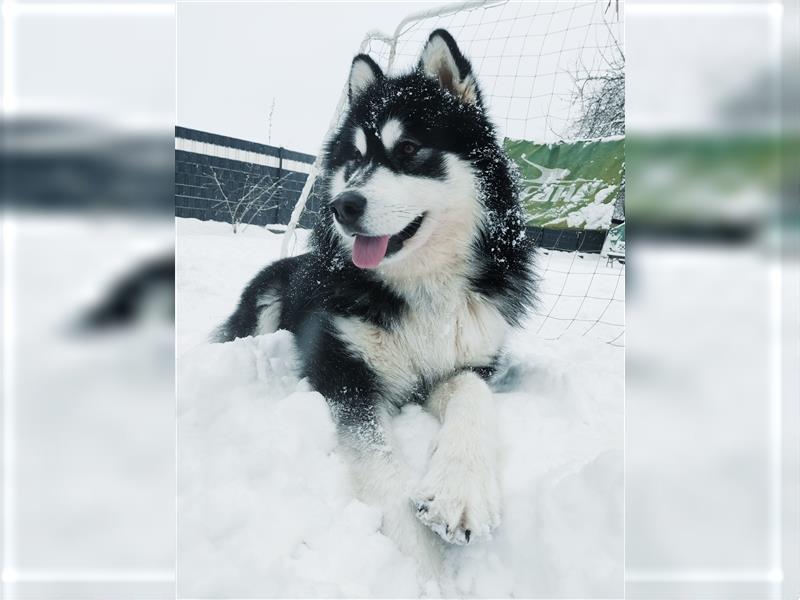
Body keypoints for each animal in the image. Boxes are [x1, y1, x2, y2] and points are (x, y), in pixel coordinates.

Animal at [216, 28, 536, 564]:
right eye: (354, 159)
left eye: (407, 148)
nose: (342, 206)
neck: (421, 287)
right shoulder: (344, 370)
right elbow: (378, 460)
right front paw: (424, 566)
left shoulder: (467, 358)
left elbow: (472, 393)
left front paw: (459, 490)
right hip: (265, 304)